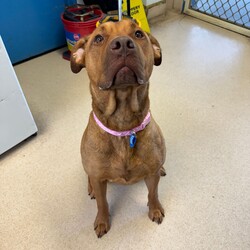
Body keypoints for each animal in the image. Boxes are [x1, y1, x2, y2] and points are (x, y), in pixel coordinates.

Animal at [70, 20, 166, 238]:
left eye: (138, 34)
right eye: (98, 38)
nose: (123, 44)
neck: (124, 127)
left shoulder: (152, 175)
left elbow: (153, 193)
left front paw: (155, 209)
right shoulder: (99, 179)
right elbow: (102, 203)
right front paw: (102, 220)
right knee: (89, 176)